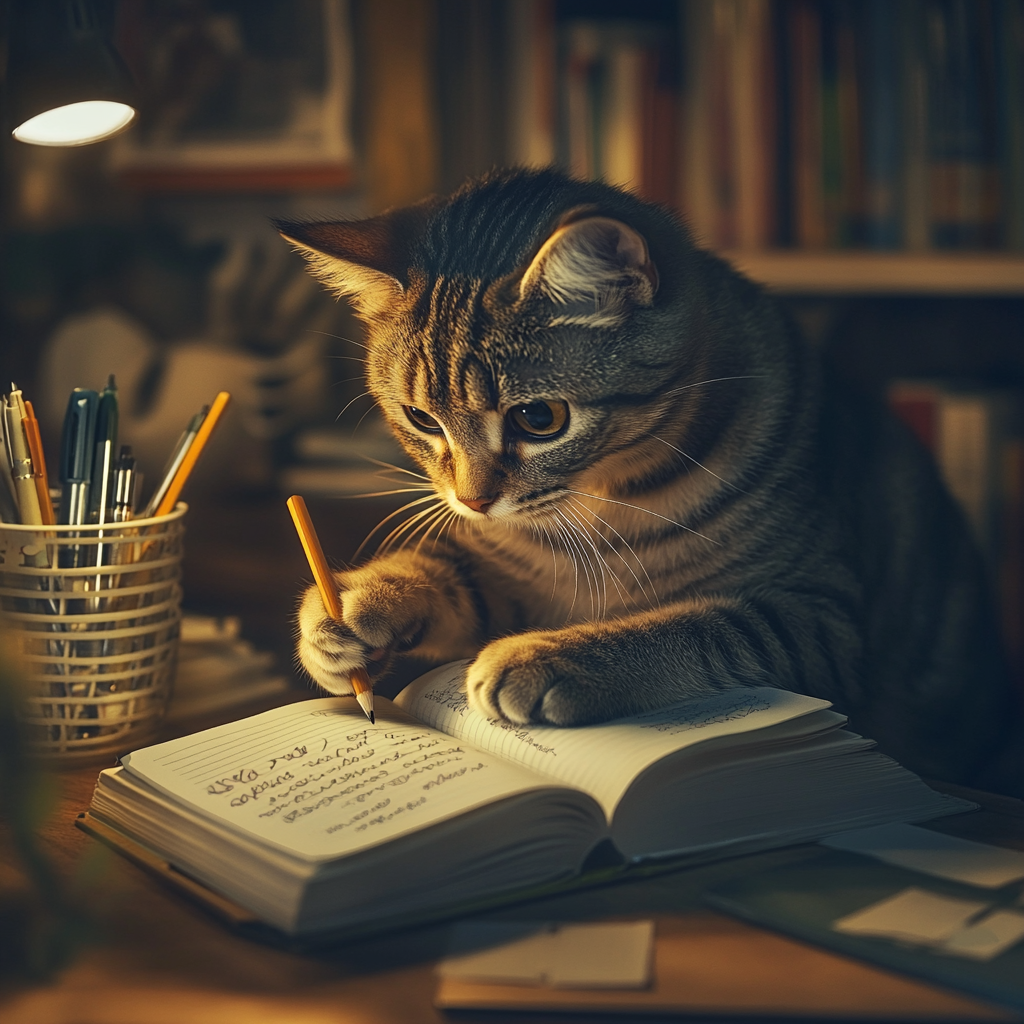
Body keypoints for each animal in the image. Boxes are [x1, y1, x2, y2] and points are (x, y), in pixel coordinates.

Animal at [276, 167, 1019, 790]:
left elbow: (699, 628)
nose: (473, 499)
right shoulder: (505, 571)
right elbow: (443, 572)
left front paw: (554, 656)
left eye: (539, 418)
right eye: (421, 418)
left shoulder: (820, 612)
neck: (610, 500)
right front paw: (349, 609)